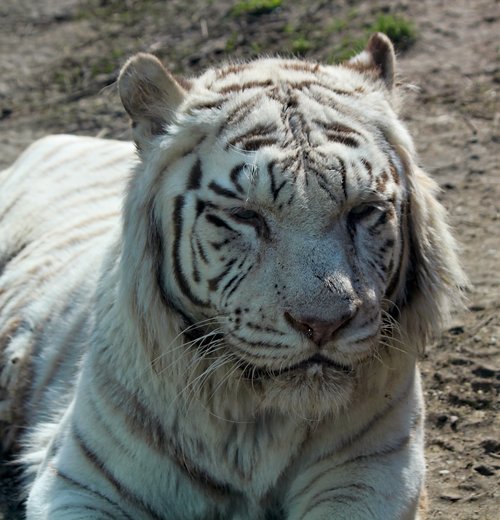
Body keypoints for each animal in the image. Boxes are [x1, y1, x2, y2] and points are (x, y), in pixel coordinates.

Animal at [0, 34, 464, 516]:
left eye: (363, 211)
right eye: (245, 216)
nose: (323, 325)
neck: (255, 428)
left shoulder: (373, 471)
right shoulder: (80, 479)